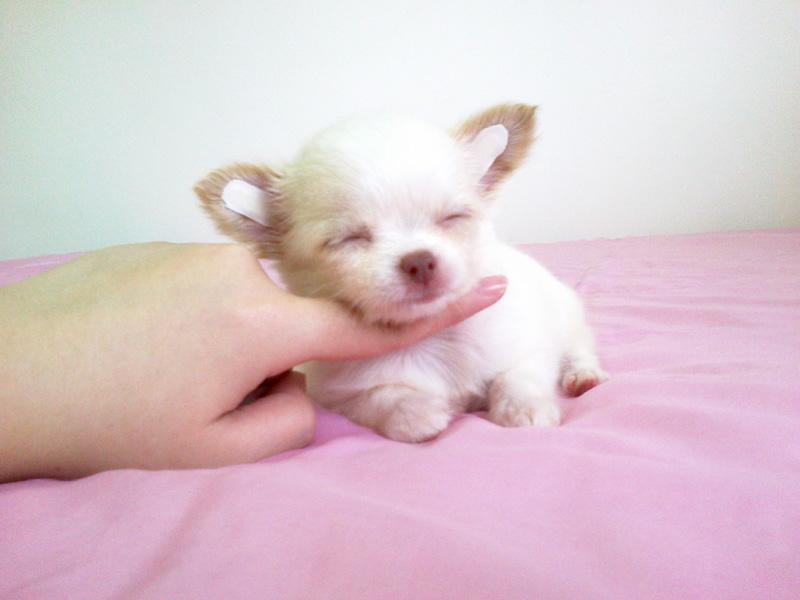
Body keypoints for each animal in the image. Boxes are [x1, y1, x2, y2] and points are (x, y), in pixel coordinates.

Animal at [194, 103, 607, 442]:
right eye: (349, 239)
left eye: (453, 217)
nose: (419, 260)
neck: (435, 338)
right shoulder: (340, 392)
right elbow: (383, 396)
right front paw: (416, 414)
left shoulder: (526, 344)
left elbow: (520, 376)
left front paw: (525, 409)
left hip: (566, 313)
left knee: (580, 348)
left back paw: (582, 376)